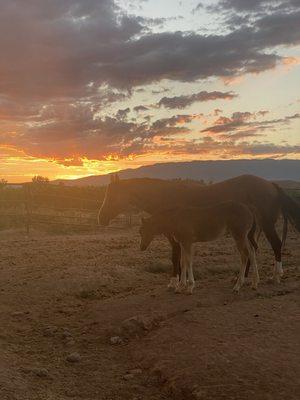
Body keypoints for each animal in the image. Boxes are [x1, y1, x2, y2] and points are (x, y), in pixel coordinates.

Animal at [99, 173, 300, 286]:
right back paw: (244, 279)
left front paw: (175, 282)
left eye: (112, 195)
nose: (101, 218)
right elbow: (182, 257)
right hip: (249, 230)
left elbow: (176, 257)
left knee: (276, 245)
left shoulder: (175, 236)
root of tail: (271, 185)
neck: (166, 196)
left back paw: (275, 276)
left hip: (266, 224)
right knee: (252, 250)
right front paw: (182, 281)